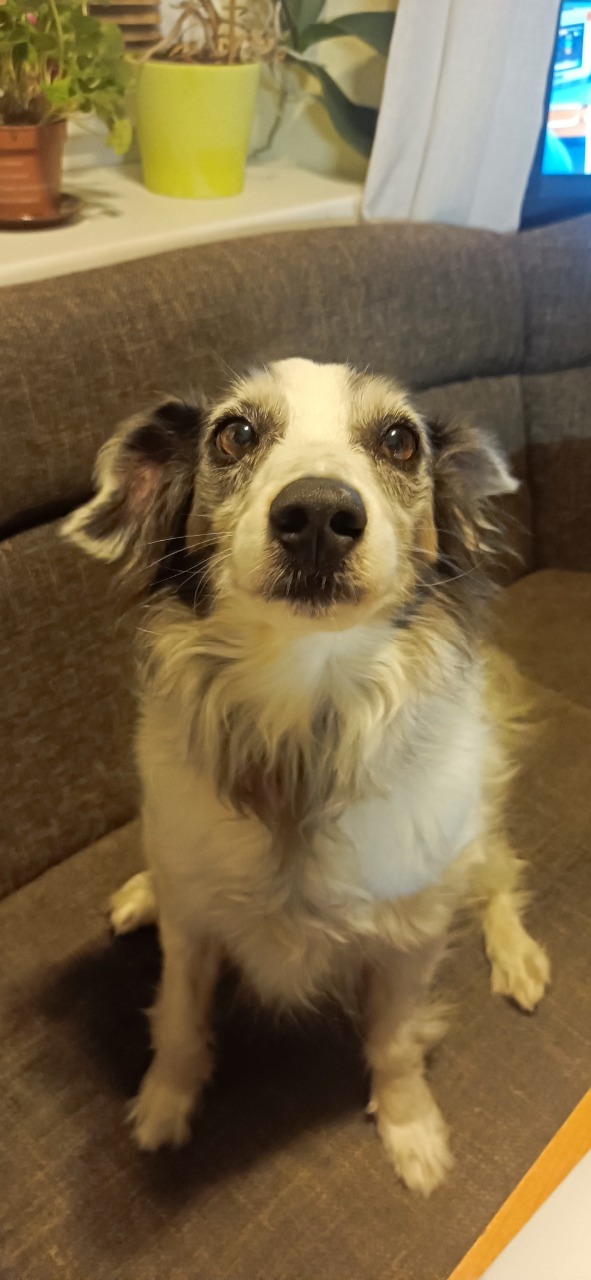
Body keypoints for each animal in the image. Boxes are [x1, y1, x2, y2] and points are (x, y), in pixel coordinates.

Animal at [65, 358, 550, 1195]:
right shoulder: (193, 927)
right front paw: (163, 1105)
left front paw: (410, 1131)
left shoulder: (409, 938)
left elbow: (394, 1039)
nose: (319, 512)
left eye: (398, 441)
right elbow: (179, 1019)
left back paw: (515, 955)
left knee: (497, 871)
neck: (302, 734)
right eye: (234, 434)